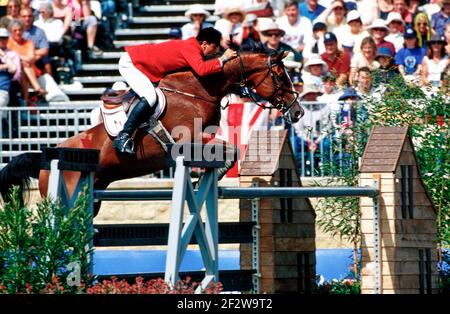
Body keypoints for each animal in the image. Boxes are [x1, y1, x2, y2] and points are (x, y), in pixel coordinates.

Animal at [0, 51, 302, 215]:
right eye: (280, 75)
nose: (297, 112)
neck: (199, 90)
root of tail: (45, 157)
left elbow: (229, 149)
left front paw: (208, 177)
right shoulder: (187, 141)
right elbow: (230, 147)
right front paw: (208, 176)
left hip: (92, 197)